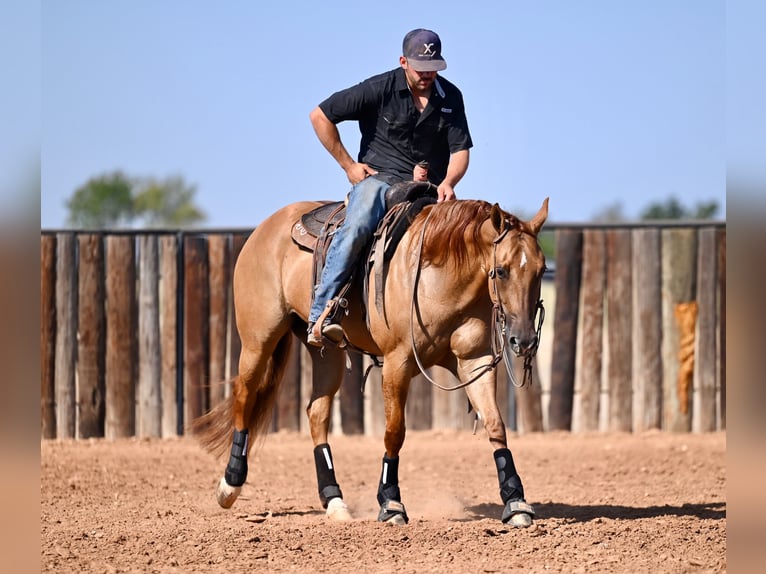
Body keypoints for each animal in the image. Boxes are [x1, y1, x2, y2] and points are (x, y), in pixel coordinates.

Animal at [195, 196, 548, 528]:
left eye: (541, 270)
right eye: (501, 270)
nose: (524, 340)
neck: (439, 277)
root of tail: (265, 228)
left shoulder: (476, 361)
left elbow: (495, 424)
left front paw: (516, 501)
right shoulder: (397, 362)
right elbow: (394, 431)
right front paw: (391, 503)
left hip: (326, 353)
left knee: (316, 413)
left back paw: (334, 500)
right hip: (258, 339)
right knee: (245, 395)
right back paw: (230, 484)